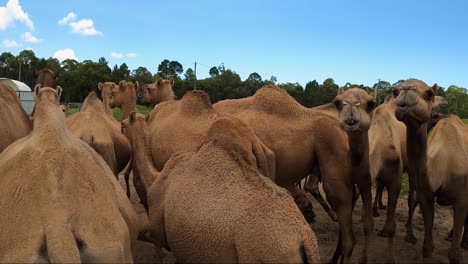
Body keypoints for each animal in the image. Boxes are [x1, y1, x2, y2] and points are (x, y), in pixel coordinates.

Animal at [120, 112, 320, 264]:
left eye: (122, 125)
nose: (119, 128)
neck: (157, 177)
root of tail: (305, 241)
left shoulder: (160, 229)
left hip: (266, 255)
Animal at [392, 79, 464, 264]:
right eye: (394, 91)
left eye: (430, 93)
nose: (406, 89)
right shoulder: (426, 194)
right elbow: (427, 248)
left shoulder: (463, 198)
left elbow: (454, 255)